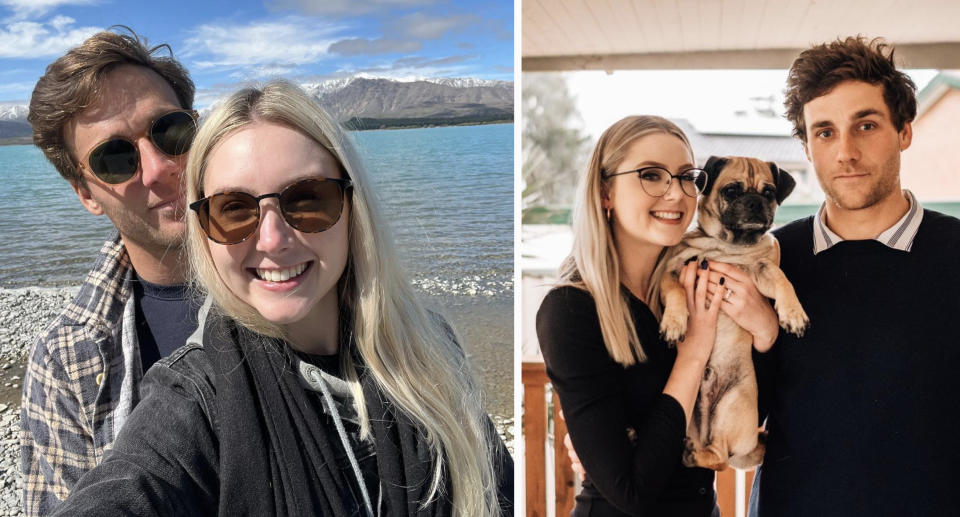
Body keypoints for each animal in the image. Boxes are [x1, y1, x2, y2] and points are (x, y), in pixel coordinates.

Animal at [656, 154, 808, 472]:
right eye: (731, 191)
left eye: (768, 193)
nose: (754, 202)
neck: (726, 245)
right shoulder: (673, 272)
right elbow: (676, 292)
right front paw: (675, 323)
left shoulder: (763, 271)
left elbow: (782, 279)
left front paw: (793, 313)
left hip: (732, 404)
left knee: (721, 459)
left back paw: (695, 455)